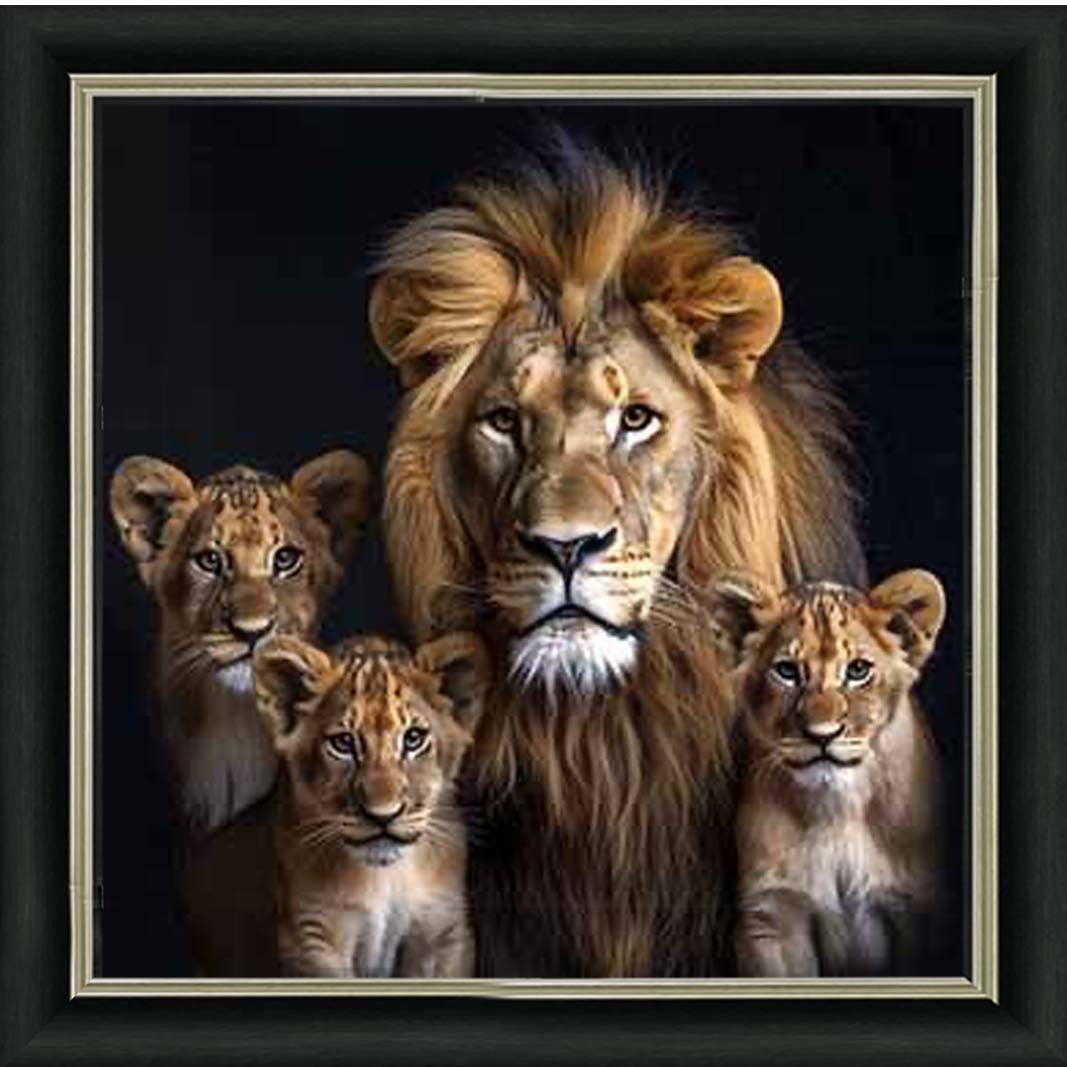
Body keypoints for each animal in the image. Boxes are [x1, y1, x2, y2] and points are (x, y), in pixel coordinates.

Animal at [185, 631, 487, 978]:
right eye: (343, 744)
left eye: (413, 738)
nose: (383, 816)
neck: (385, 876)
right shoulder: (312, 939)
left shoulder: (443, 932)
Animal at [711, 569, 945, 977]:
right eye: (786, 671)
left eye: (858, 670)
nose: (822, 735)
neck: (838, 808)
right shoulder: (773, 917)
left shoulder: (918, 911)